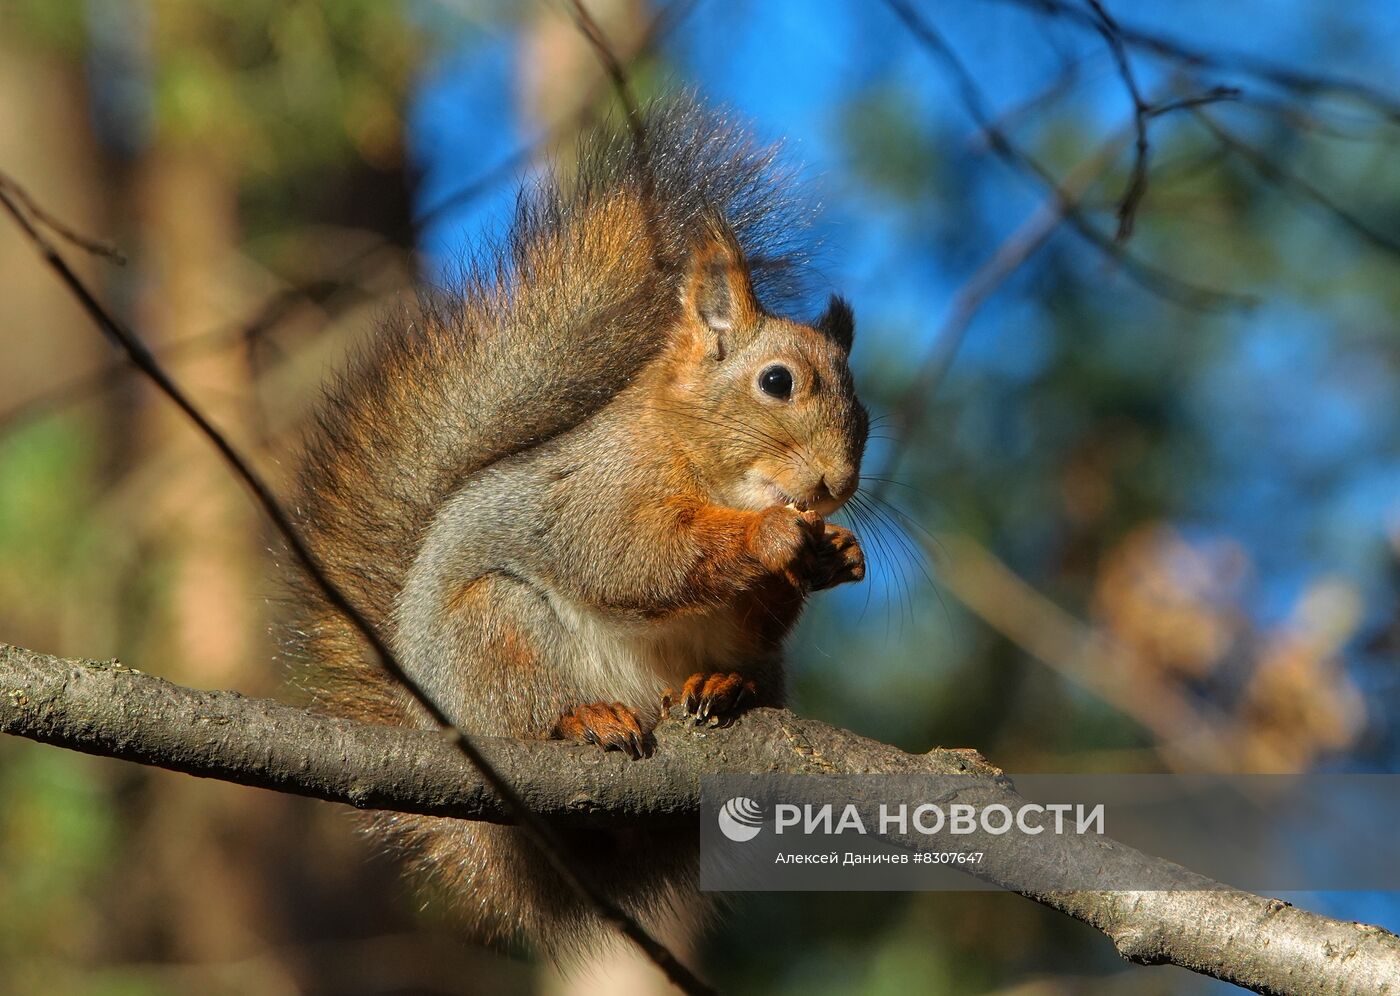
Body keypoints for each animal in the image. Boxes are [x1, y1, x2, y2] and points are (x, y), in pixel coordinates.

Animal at [287, 101, 862, 958]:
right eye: (776, 382)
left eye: (863, 406)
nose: (839, 483)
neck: (702, 466)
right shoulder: (596, 496)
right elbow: (635, 559)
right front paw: (770, 538)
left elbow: (750, 612)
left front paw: (834, 555)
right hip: (495, 637)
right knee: (528, 702)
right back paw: (584, 719)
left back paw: (722, 687)